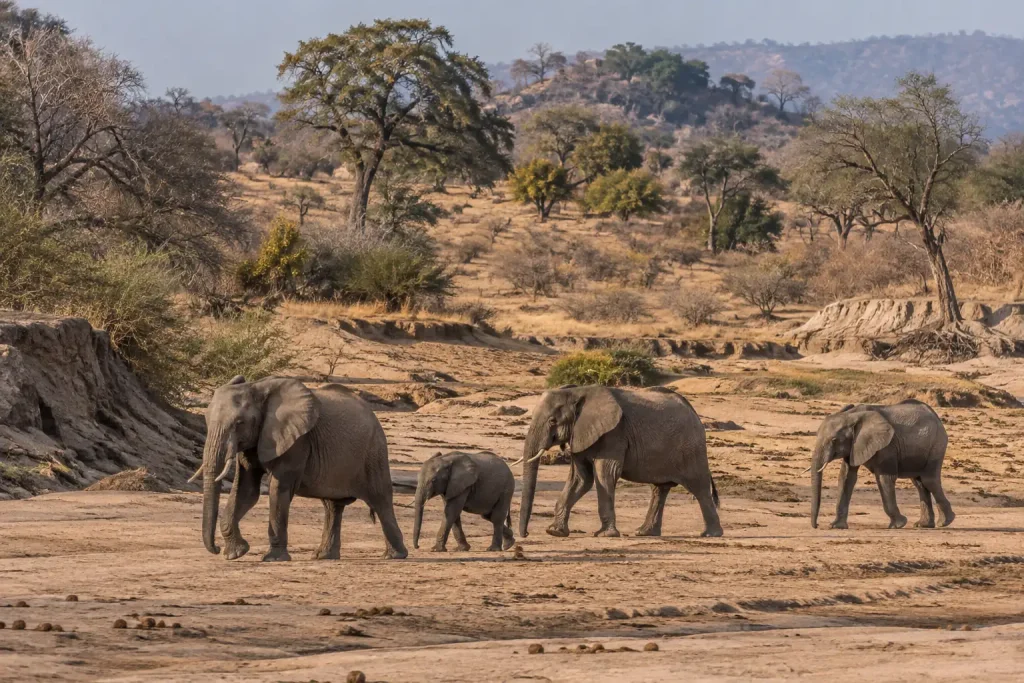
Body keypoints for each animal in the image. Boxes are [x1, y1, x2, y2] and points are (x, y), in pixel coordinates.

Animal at [189, 376, 407, 561]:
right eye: (206, 419)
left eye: (239, 423)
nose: (216, 549)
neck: (257, 387)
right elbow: (246, 490)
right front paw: (235, 554)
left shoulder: (297, 441)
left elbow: (278, 489)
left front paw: (273, 559)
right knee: (333, 506)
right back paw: (323, 556)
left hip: (374, 451)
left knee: (380, 499)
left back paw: (395, 556)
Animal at [517, 385, 722, 539]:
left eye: (552, 421)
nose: (525, 534)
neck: (577, 392)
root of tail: (694, 412)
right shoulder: (580, 435)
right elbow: (580, 480)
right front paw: (555, 532)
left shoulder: (614, 434)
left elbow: (604, 474)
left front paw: (605, 535)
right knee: (659, 489)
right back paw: (644, 533)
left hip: (691, 448)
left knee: (699, 488)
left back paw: (711, 534)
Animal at [810, 399, 953, 530]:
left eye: (834, 440)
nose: (816, 526)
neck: (851, 415)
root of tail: (935, 416)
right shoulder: (854, 446)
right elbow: (846, 477)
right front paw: (836, 526)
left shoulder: (887, 446)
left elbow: (885, 478)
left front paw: (898, 525)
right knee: (919, 483)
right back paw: (924, 525)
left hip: (936, 445)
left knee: (929, 480)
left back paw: (944, 522)